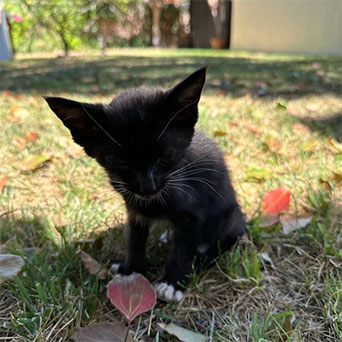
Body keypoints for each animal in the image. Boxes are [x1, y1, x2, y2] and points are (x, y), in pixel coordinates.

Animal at [46, 67, 246, 302]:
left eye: (166, 157)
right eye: (120, 163)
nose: (147, 186)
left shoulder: (193, 211)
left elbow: (183, 249)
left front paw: (172, 283)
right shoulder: (134, 209)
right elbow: (135, 239)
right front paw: (130, 269)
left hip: (230, 219)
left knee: (228, 239)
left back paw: (202, 257)